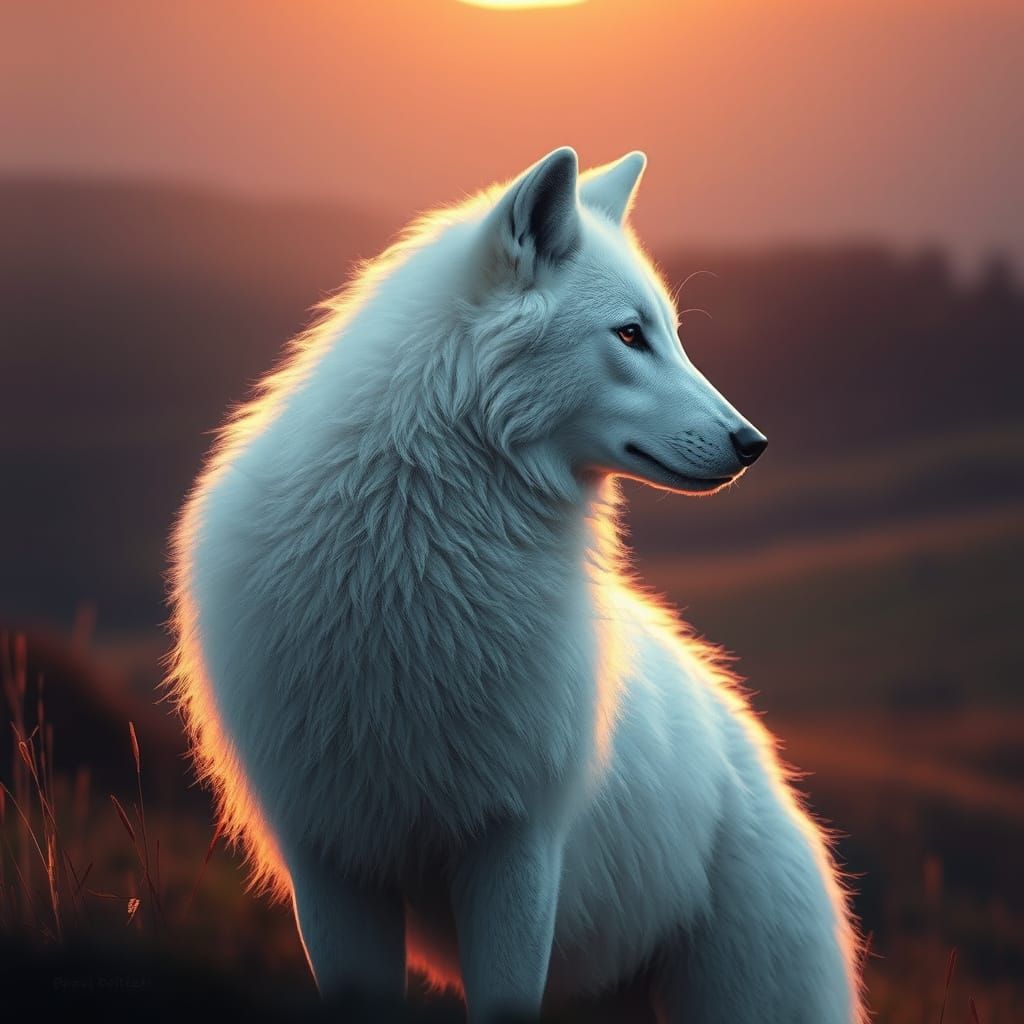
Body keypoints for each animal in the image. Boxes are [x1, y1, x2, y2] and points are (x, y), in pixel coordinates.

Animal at [167, 147, 865, 1023]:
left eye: (670, 334)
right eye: (631, 335)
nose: (754, 443)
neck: (416, 555)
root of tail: (757, 751)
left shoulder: (513, 855)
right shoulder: (333, 867)